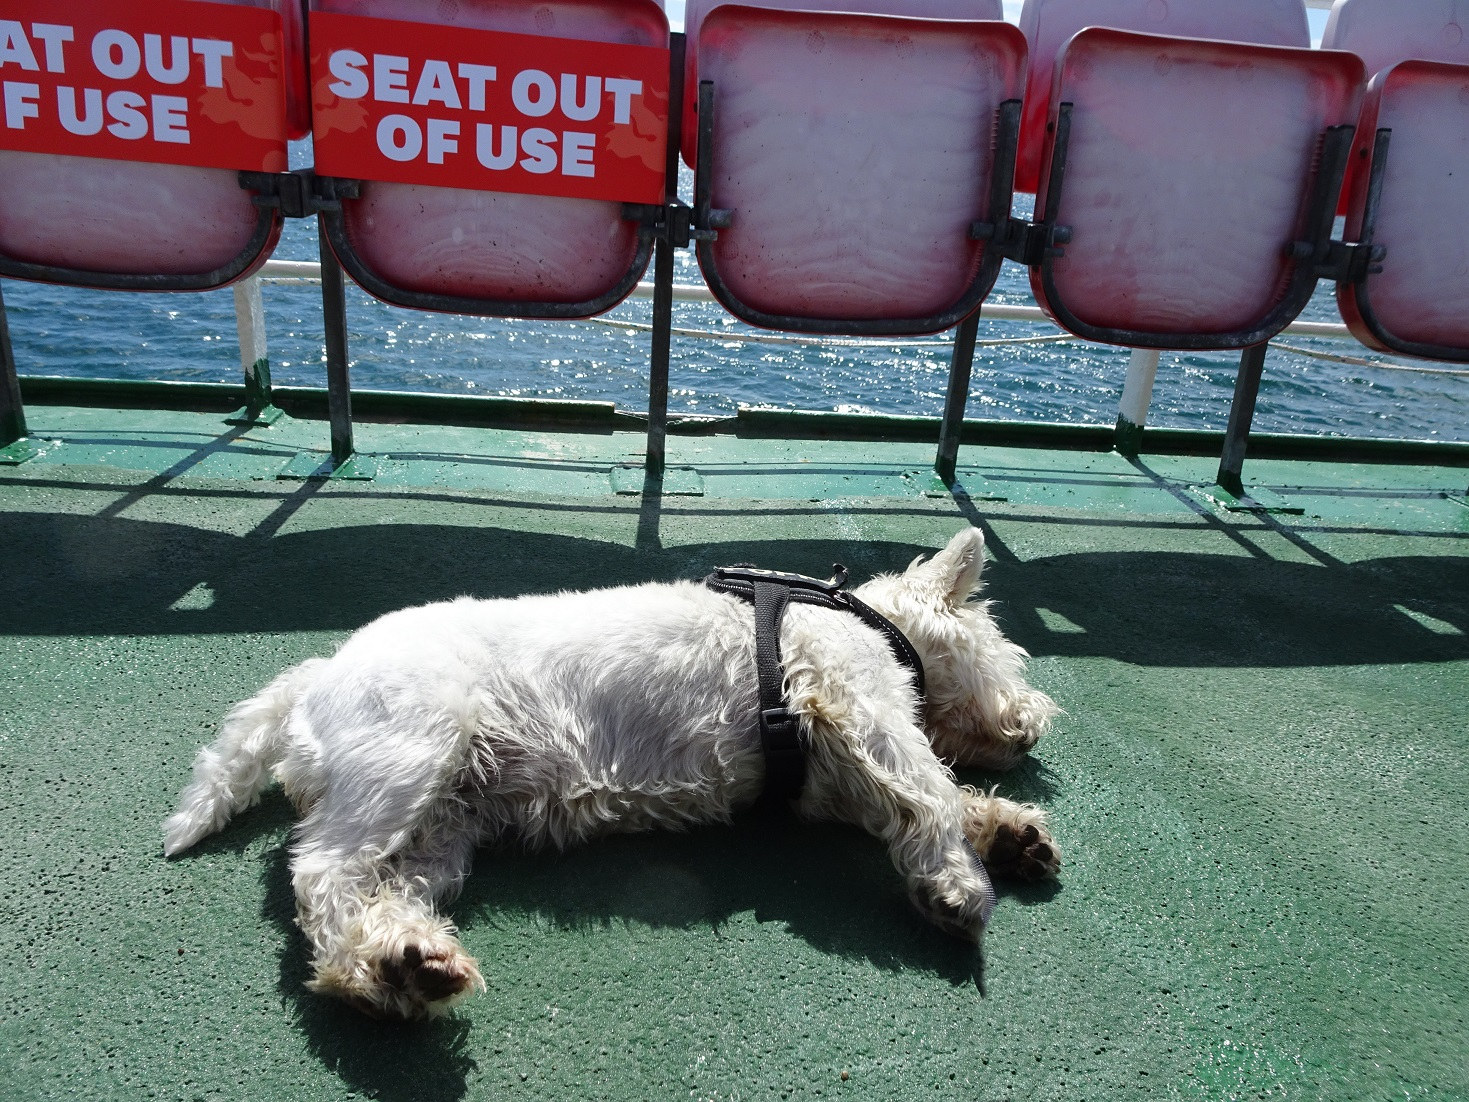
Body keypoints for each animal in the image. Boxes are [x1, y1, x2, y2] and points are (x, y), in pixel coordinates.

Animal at [163, 531, 1057, 1022]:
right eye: (1008, 651)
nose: (1033, 724)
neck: (870, 622)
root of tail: (311, 680)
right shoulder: (856, 704)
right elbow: (927, 784)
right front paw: (960, 886)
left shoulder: (832, 776)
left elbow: (926, 796)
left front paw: (1009, 831)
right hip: (407, 755)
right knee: (320, 871)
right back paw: (378, 970)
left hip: (441, 825)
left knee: (382, 892)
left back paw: (405, 965)